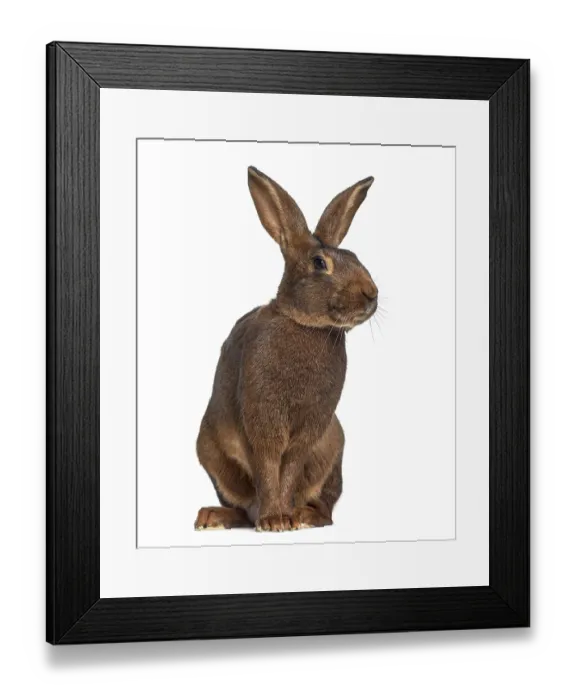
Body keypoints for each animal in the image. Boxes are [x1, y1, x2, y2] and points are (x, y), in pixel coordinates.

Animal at [194, 166, 378, 533]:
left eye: (355, 257)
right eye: (320, 263)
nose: (372, 293)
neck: (305, 323)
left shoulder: (311, 428)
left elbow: (290, 467)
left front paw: (285, 519)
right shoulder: (261, 418)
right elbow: (268, 465)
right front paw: (273, 521)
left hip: (334, 446)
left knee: (326, 506)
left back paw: (305, 515)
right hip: (211, 453)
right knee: (241, 506)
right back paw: (214, 517)